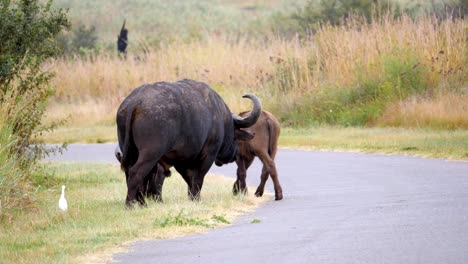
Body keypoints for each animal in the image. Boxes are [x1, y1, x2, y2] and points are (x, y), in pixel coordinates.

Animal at [115, 78, 262, 206]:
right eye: (235, 136)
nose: (234, 155)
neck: (220, 116)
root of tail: (135, 102)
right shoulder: (208, 155)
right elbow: (198, 178)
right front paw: (196, 199)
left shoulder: (180, 159)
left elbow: (189, 179)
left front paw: (192, 197)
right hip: (151, 153)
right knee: (135, 173)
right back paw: (130, 204)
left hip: (130, 151)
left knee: (130, 172)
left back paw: (141, 204)